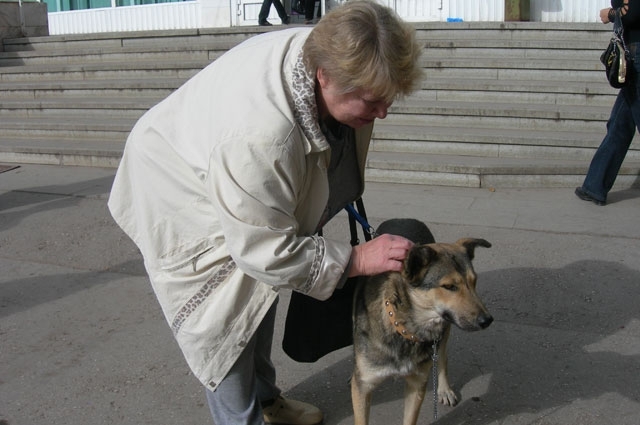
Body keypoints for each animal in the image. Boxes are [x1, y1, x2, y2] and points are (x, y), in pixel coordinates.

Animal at [350, 219, 496, 424]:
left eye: (474, 282)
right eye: (449, 286)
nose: (487, 320)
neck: (404, 327)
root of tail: (404, 219)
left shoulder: (417, 383)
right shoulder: (363, 387)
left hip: (444, 331)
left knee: (442, 357)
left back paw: (444, 389)